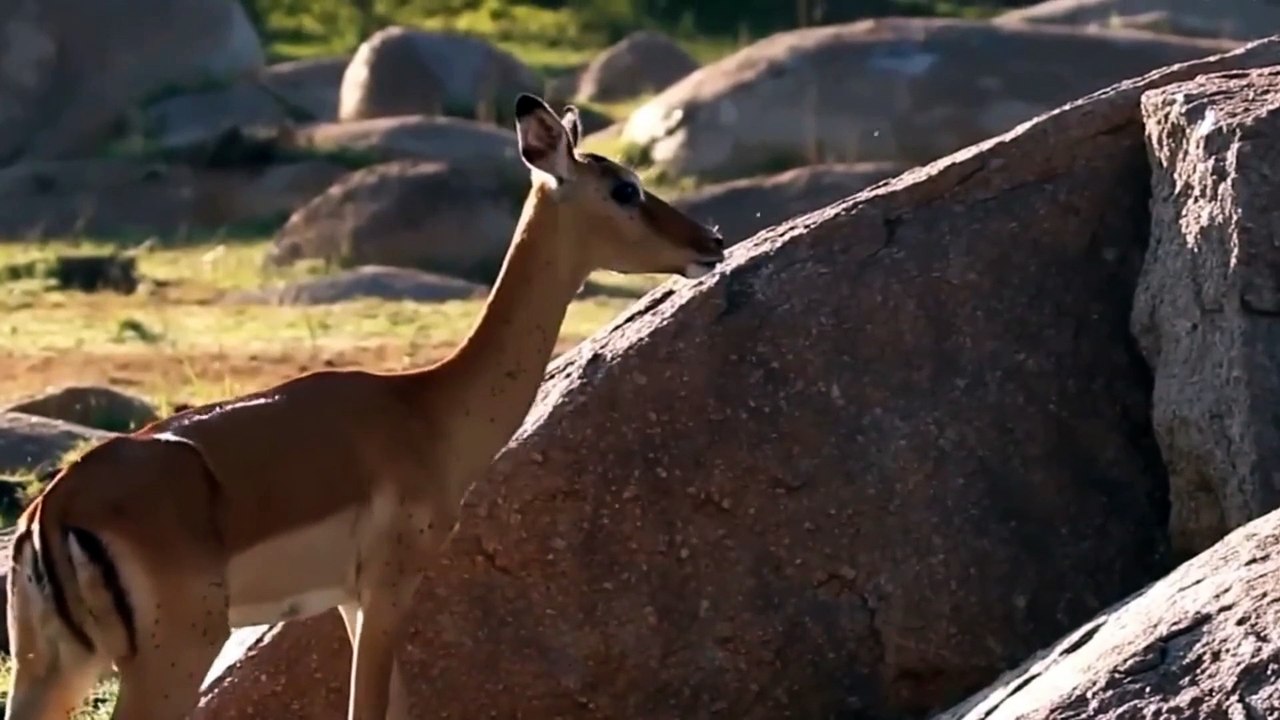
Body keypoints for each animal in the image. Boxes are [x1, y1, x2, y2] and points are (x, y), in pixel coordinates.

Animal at [4, 93, 725, 720]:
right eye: (625, 189)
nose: (710, 241)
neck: (424, 410)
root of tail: (53, 509)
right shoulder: (386, 589)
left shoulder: (350, 602)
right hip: (169, 659)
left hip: (53, 671)